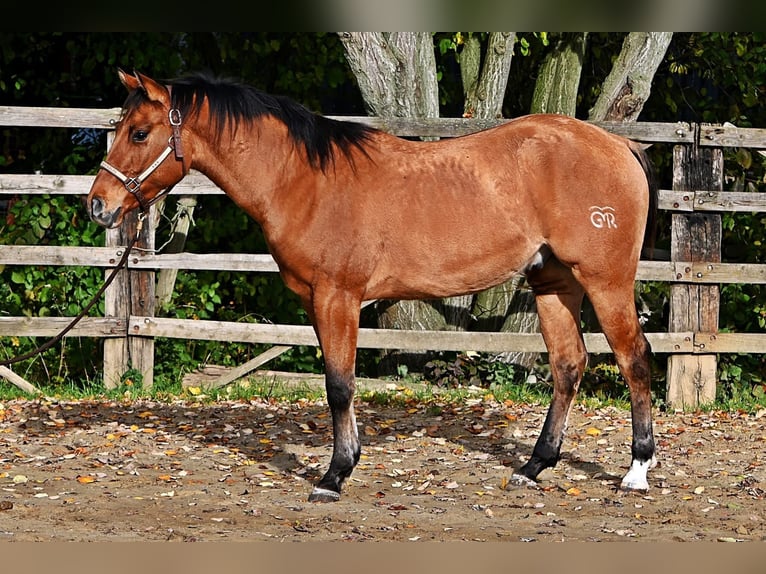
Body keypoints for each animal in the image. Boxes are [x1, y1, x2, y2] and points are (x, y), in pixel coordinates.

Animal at [87, 69, 658, 503]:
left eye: (139, 133)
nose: (98, 205)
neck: (305, 180)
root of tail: (619, 144)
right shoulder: (321, 301)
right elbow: (338, 382)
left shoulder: (337, 297)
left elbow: (339, 385)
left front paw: (335, 474)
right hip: (553, 283)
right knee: (568, 365)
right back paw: (534, 465)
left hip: (605, 282)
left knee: (634, 359)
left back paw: (636, 470)